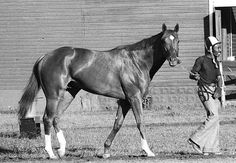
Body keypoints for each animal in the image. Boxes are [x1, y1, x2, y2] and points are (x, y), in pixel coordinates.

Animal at [18, 24, 180, 159]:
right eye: (164, 40)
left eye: (177, 40)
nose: (174, 60)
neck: (137, 61)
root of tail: (45, 57)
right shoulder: (134, 97)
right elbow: (140, 122)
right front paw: (148, 151)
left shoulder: (124, 101)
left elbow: (117, 124)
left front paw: (106, 151)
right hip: (53, 96)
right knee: (47, 118)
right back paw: (50, 153)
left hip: (69, 94)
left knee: (56, 118)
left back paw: (62, 150)